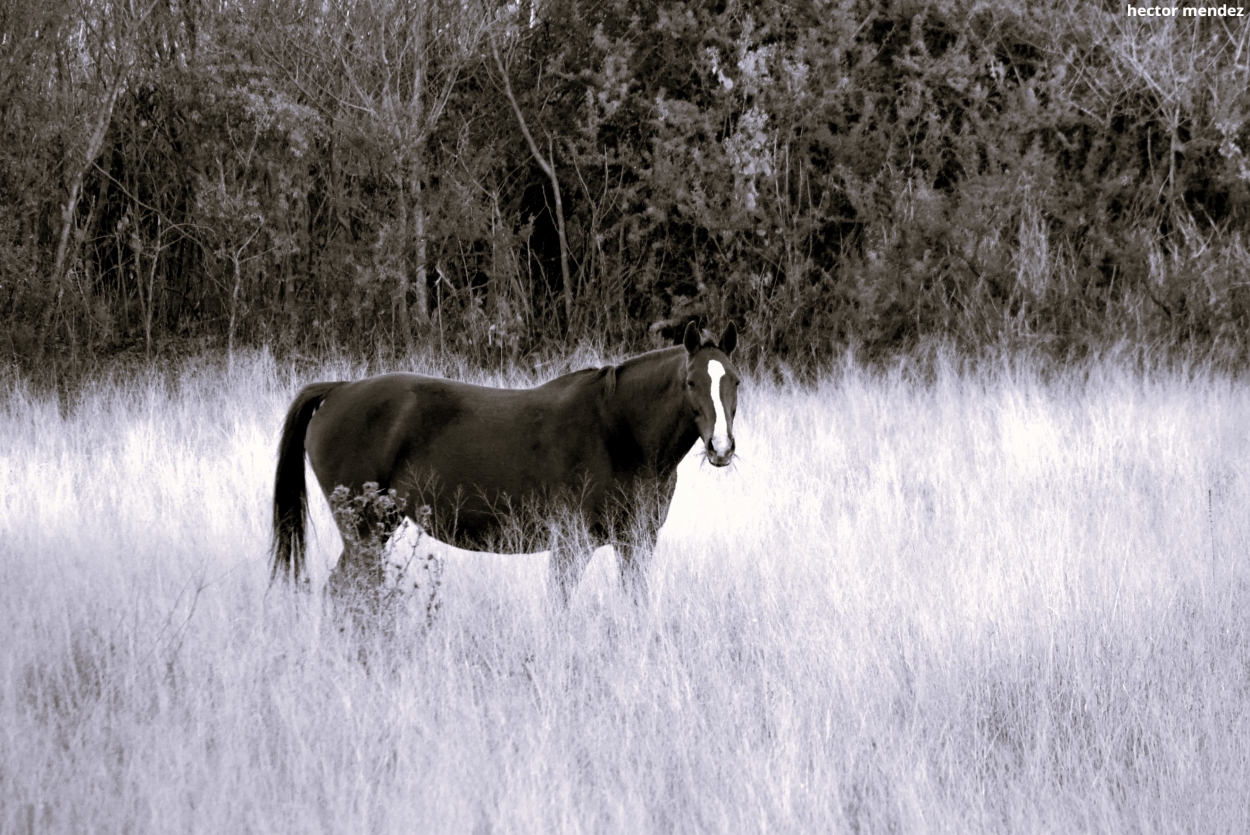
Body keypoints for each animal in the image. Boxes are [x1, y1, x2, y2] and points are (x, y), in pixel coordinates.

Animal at [268, 322, 735, 607]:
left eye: (734, 381)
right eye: (691, 382)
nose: (721, 448)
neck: (619, 430)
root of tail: (339, 390)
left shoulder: (636, 542)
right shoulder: (571, 543)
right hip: (364, 531)